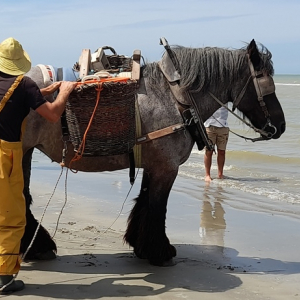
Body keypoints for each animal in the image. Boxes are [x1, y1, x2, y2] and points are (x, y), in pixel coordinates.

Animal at [21, 39, 286, 264]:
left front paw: (142, 245)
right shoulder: (166, 168)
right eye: (266, 84)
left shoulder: (154, 166)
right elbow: (157, 206)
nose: (281, 126)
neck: (175, 98)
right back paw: (38, 246)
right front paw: (159, 251)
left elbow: (145, 202)